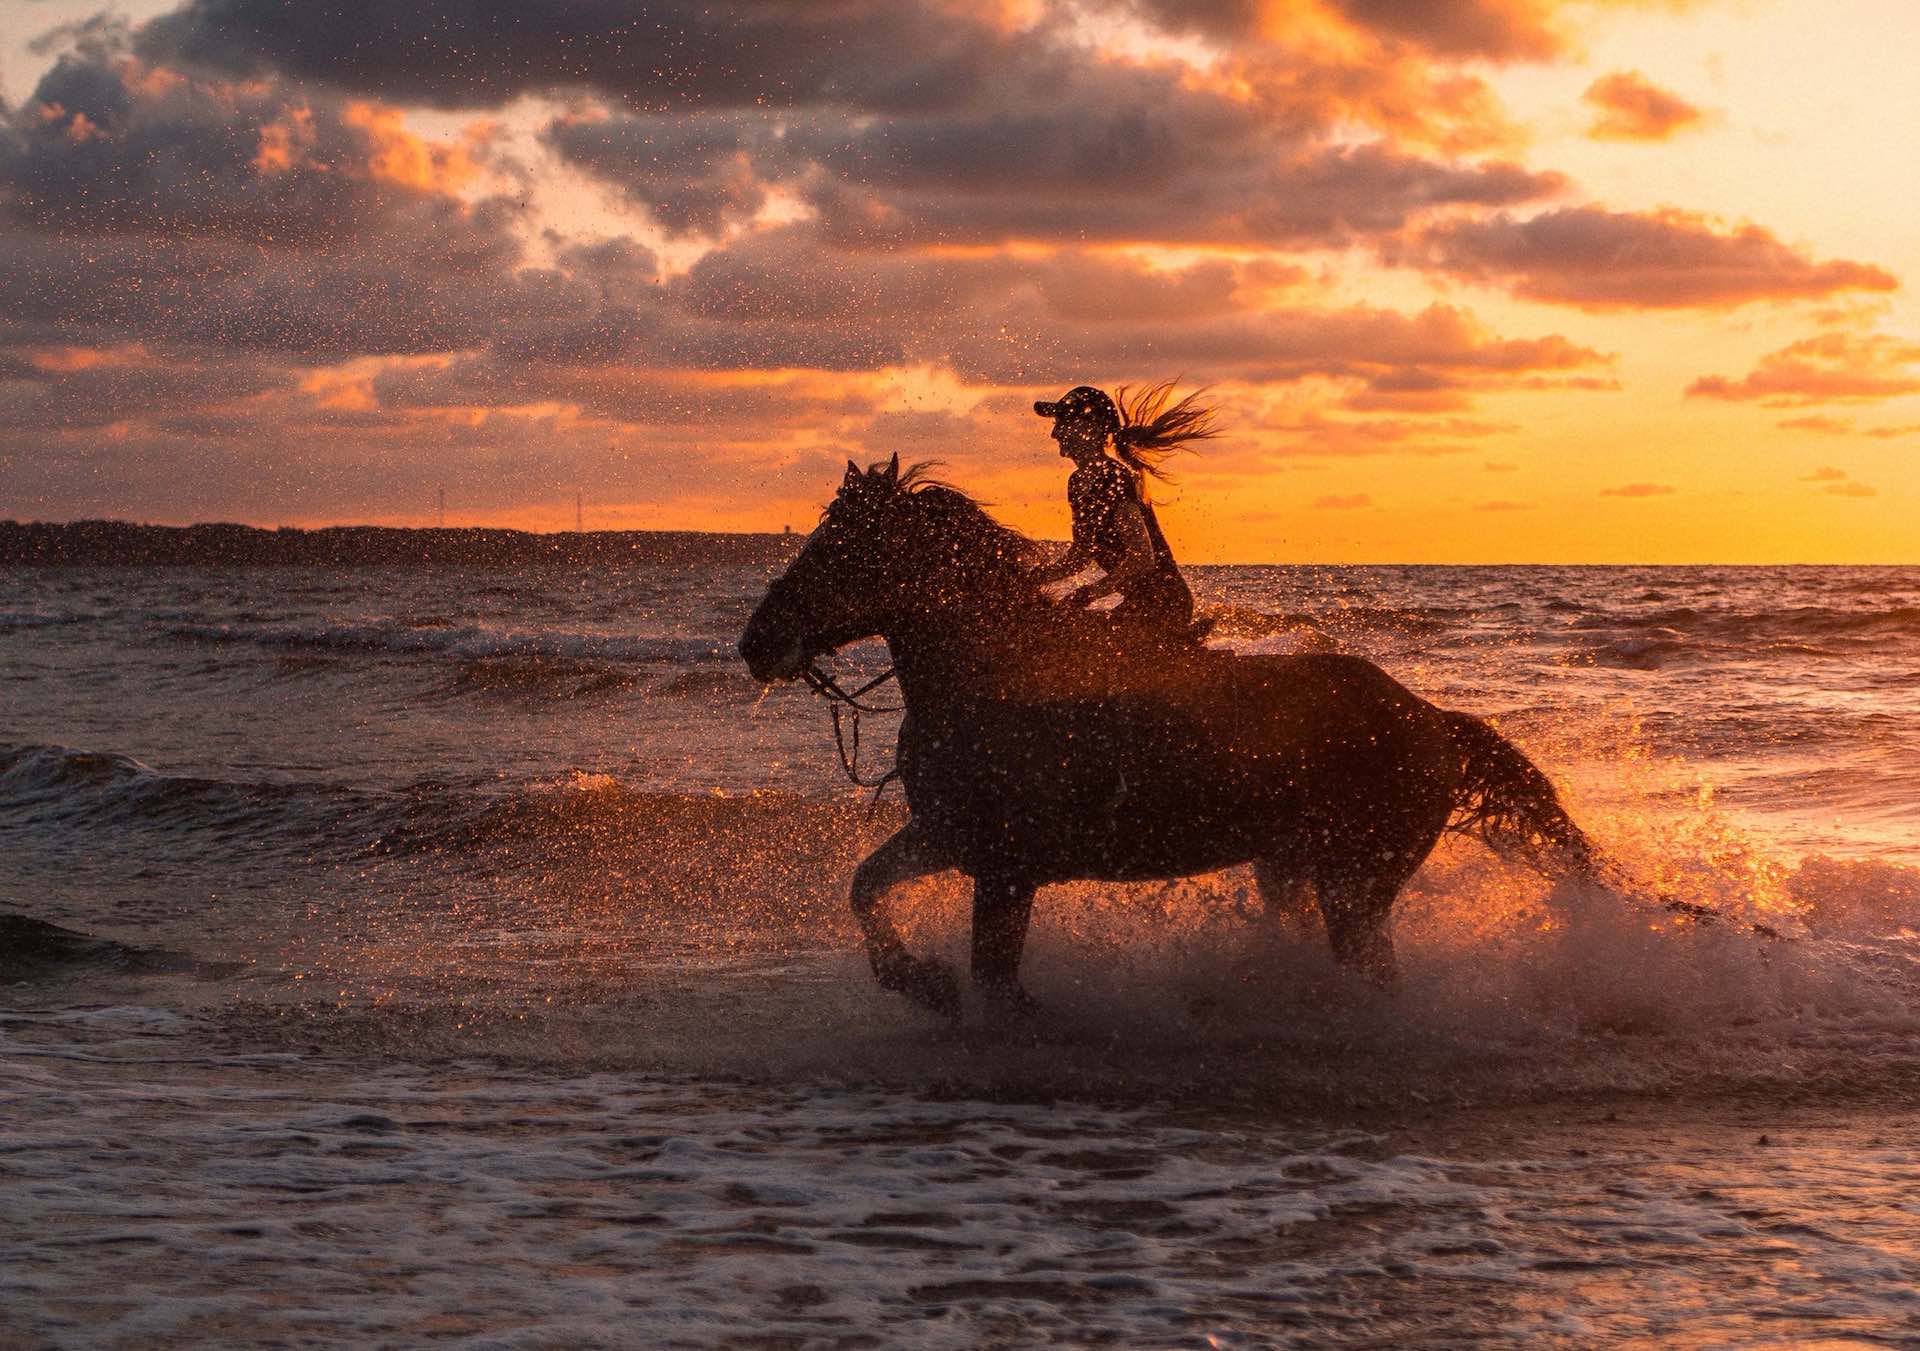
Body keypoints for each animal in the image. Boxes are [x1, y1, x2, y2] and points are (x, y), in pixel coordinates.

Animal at [739, 456, 1602, 1020]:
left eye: (839, 548)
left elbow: (995, 979)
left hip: (1355, 884)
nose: (756, 642)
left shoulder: (1007, 867)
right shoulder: (951, 837)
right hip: (1295, 869)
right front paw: (921, 980)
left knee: (1375, 975)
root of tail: (1433, 720)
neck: (991, 669)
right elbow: (867, 887)